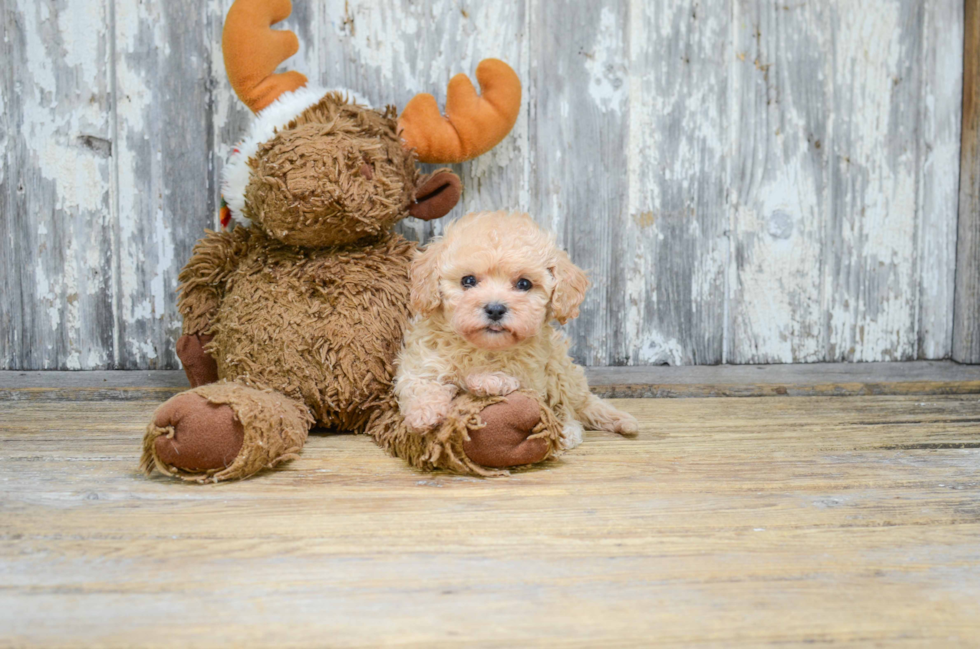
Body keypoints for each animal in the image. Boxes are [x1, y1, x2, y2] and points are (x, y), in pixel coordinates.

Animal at [394, 210, 640, 448]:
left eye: (524, 284)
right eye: (468, 280)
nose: (495, 309)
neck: (483, 347)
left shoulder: (533, 371)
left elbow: (513, 377)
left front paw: (489, 379)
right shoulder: (422, 359)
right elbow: (418, 383)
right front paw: (424, 413)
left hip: (560, 370)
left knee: (570, 406)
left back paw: (574, 431)